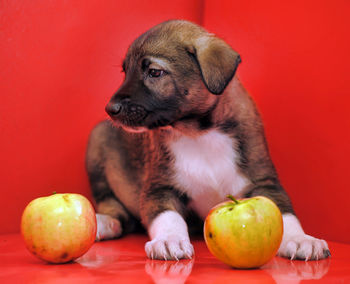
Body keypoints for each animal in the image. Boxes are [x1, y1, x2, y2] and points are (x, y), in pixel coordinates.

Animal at [85, 18, 330, 260]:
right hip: (98, 141)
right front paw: (169, 239)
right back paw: (105, 222)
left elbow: (286, 214)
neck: (199, 133)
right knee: (114, 207)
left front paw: (301, 239)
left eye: (154, 72)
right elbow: (168, 217)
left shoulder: (264, 181)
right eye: (125, 71)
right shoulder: (159, 188)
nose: (110, 109)